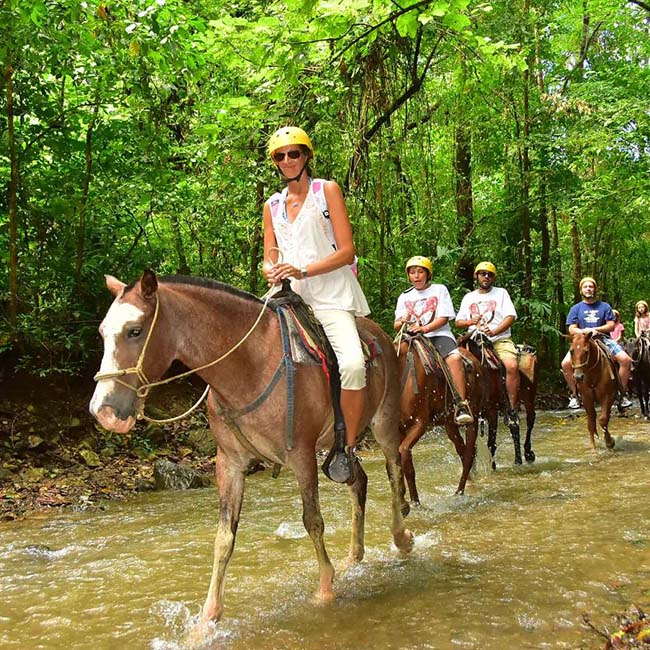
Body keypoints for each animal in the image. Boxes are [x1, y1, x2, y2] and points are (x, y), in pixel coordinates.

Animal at [87, 270, 410, 624]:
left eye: (134, 330)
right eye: (102, 332)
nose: (103, 411)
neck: (250, 366)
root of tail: (380, 333)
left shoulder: (302, 456)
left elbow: (313, 521)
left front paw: (325, 589)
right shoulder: (229, 463)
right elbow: (223, 537)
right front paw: (208, 616)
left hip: (384, 422)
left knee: (394, 471)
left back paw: (401, 538)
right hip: (337, 449)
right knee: (357, 480)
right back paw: (354, 556)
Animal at [392, 334, 484, 496]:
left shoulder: (419, 424)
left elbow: (406, 459)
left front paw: (416, 501)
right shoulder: (400, 429)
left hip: (472, 419)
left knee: (468, 454)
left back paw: (459, 491)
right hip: (450, 424)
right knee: (461, 449)